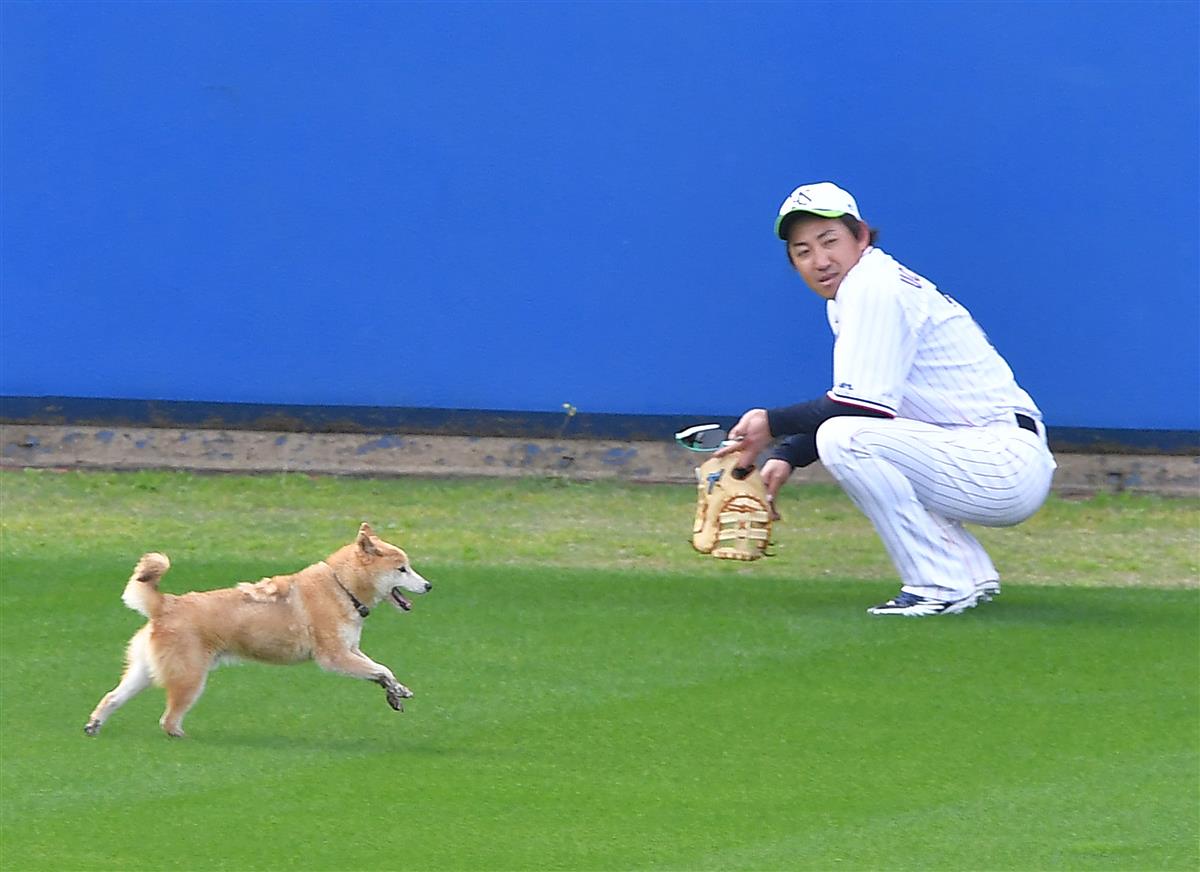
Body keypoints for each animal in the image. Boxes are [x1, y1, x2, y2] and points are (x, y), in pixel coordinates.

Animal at [83, 522, 432, 738]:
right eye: (402, 569)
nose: (429, 585)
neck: (341, 587)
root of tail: (166, 604)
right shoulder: (335, 658)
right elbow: (381, 670)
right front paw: (394, 689)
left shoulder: (352, 651)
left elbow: (382, 671)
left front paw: (396, 692)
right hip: (190, 680)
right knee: (167, 720)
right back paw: (181, 736)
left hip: (143, 673)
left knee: (112, 698)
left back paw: (94, 724)